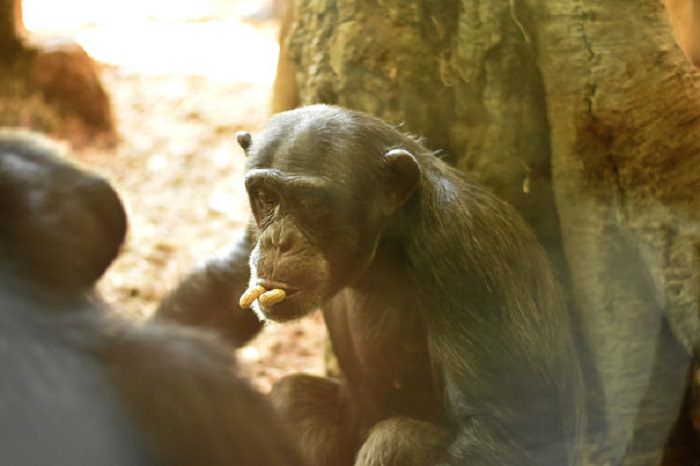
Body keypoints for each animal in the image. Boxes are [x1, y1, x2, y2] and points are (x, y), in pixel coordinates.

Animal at [154, 105, 584, 466]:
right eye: (265, 197)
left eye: (310, 204)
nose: (278, 241)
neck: (385, 245)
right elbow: (226, 289)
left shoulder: (464, 251)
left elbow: (505, 428)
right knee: (295, 399)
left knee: (398, 440)